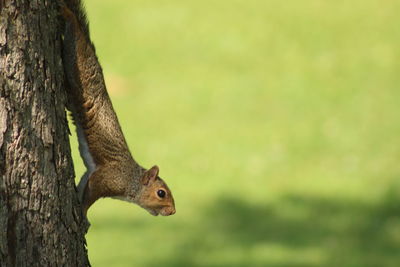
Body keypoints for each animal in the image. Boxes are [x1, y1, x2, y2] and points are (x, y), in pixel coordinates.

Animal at [60, 1, 175, 219]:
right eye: (161, 193)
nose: (172, 211)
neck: (131, 179)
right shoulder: (107, 178)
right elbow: (91, 192)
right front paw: (84, 213)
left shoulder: (92, 173)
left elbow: (84, 180)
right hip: (75, 62)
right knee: (73, 31)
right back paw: (67, 14)